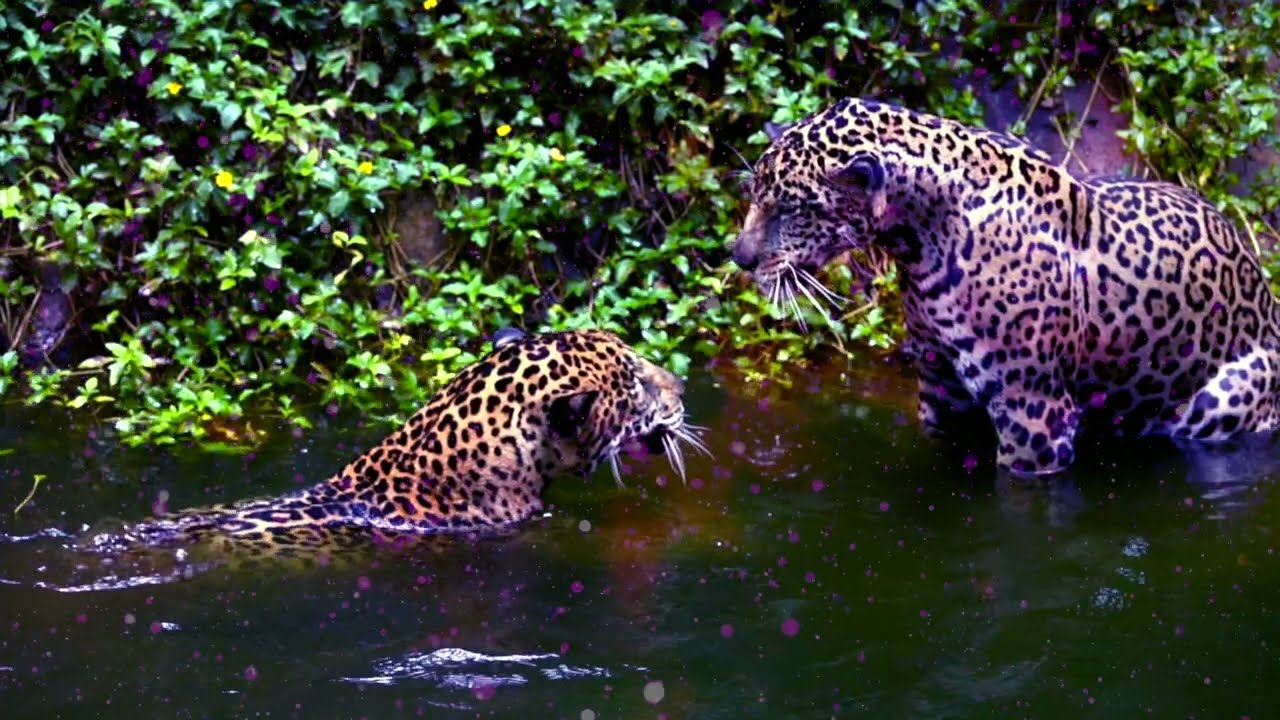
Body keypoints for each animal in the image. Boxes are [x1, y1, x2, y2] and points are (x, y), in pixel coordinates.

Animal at [731, 97, 1280, 477]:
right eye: (754, 194)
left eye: (792, 209)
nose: (739, 258)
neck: (919, 239)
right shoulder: (943, 394)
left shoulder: (1033, 414)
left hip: (1229, 393)